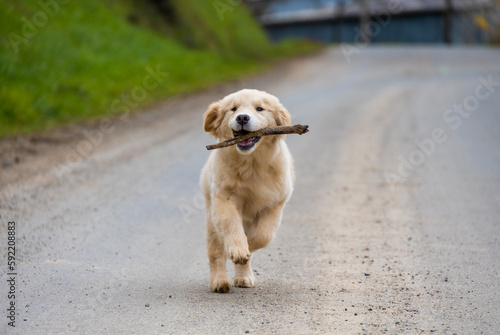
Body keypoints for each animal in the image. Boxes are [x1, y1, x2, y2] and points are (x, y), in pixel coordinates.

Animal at [201, 88, 294, 294]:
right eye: (233, 109)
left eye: (260, 109)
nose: (242, 117)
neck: (251, 163)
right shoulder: (224, 197)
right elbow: (231, 225)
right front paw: (238, 248)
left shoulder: (275, 203)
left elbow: (262, 236)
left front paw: (246, 248)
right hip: (211, 217)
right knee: (215, 251)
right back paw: (219, 282)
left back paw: (243, 277)